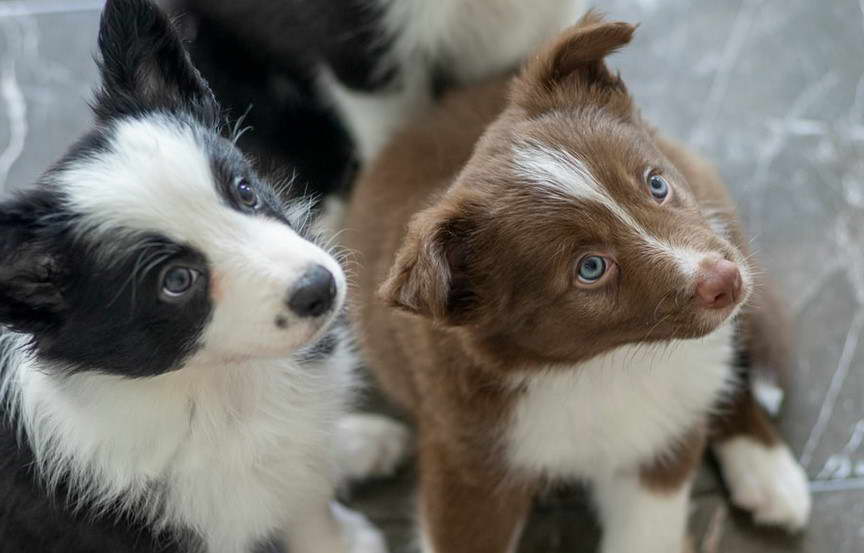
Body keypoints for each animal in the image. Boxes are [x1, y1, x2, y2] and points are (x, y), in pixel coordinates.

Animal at [342, 11, 808, 552]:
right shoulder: (469, 462)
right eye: (590, 268)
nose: (726, 281)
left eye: (656, 184)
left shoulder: (660, 441)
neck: (604, 367)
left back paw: (768, 472)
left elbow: (646, 533)